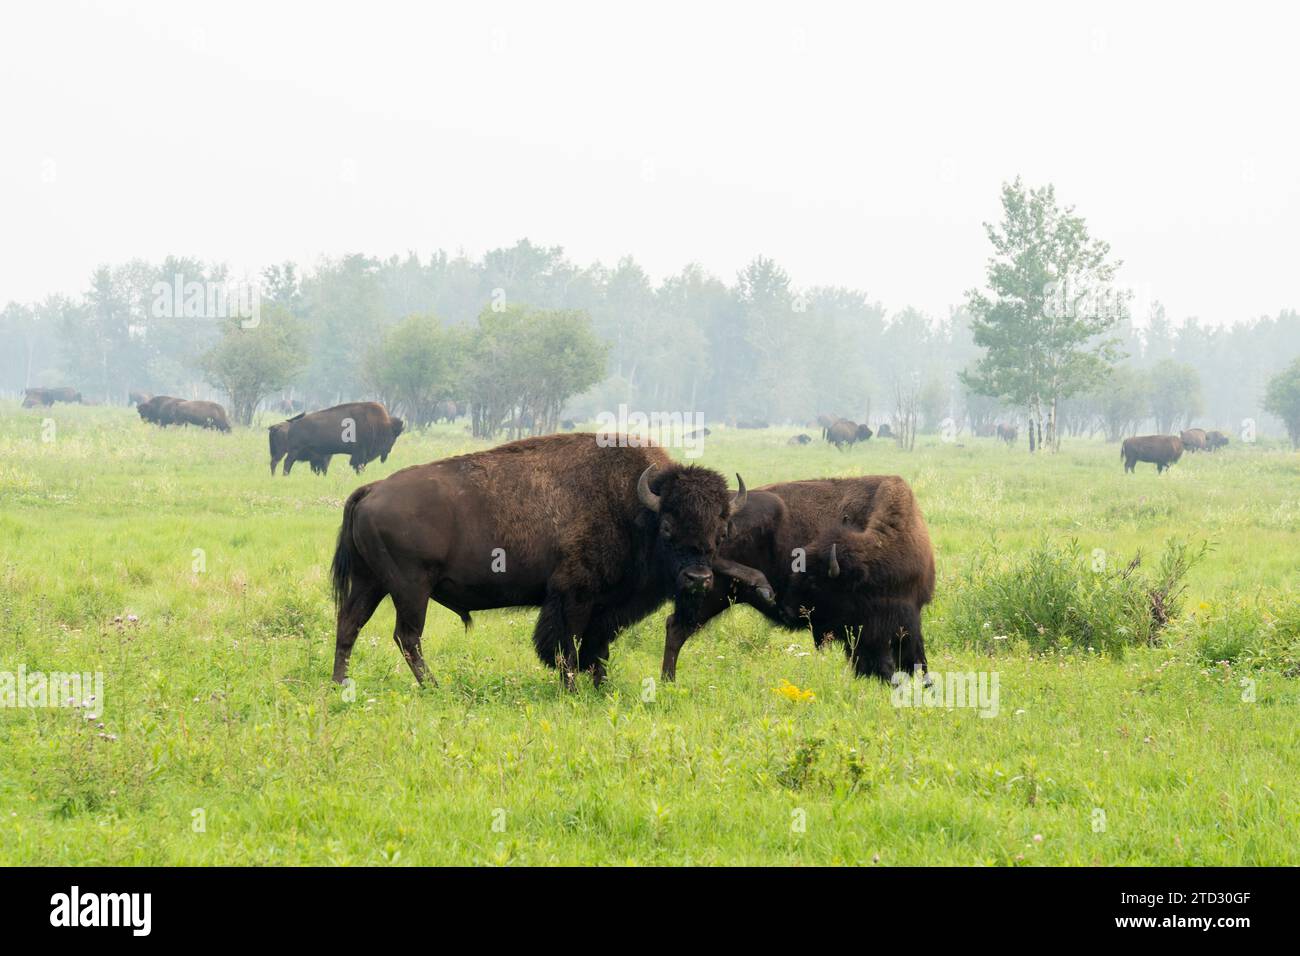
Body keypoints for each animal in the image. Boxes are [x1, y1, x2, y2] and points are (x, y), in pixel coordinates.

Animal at [267, 403, 400, 476]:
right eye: (392, 436)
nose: (388, 450)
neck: (377, 424)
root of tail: (294, 423)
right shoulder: (360, 453)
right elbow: (358, 465)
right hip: (292, 451)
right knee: (285, 462)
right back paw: (284, 476)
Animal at [330, 434, 764, 686]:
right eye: (669, 528)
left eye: (721, 532)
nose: (697, 579)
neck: (633, 507)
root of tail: (372, 489)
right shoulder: (573, 596)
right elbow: (566, 647)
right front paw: (572, 688)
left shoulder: (605, 608)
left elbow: (597, 649)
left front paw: (602, 689)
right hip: (410, 588)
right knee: (407, 636)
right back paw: (435, 688)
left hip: (371, 582)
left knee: (349, 624)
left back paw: (340, 684)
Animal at [660, 476, 935, 686]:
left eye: (814, 583)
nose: (787, 611)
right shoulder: (877, 626)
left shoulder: (903, 618)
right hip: (712, 593)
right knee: (677, 627)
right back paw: (668, 682)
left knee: (676, 627)